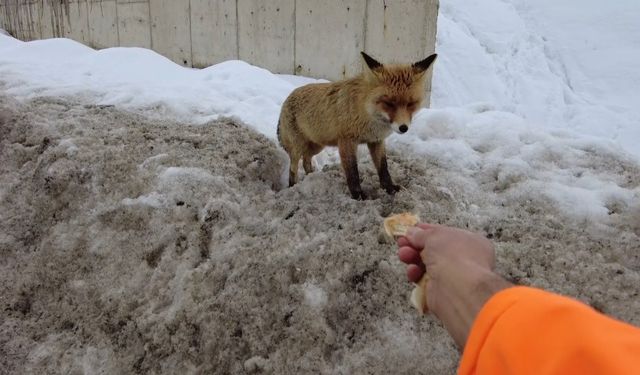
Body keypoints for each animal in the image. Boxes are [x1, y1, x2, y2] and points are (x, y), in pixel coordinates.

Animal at [278, 51, 438, 201]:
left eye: (411, 104)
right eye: (389, 103)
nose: (403, 128)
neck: (367, 114)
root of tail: (287, 98)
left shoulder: (376, 140)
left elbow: (383, 167)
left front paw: (389, 188)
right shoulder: (347, 141)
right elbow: (352, 172)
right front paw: (358, 195)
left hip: (317, 146)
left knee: (306, 161)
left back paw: (311, 176)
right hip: (299, 148)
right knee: (293, 168)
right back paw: (293, 186)